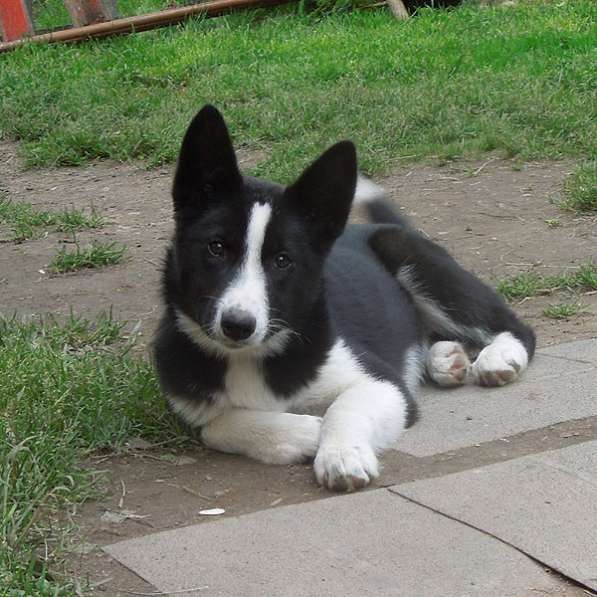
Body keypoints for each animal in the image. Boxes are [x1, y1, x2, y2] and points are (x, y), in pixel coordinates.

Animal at [152, 105, 532, 492]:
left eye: (282, 260)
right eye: (215, 248)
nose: (237, 325)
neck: (250, 358)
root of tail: (388, 228)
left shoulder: (383, 383)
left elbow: (344, 408)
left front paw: (340, 454)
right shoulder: (189, 406)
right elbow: (218, 425)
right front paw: (306, 432)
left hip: (415, 261)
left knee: (515, 327)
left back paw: (497, 357)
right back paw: (445, 359)